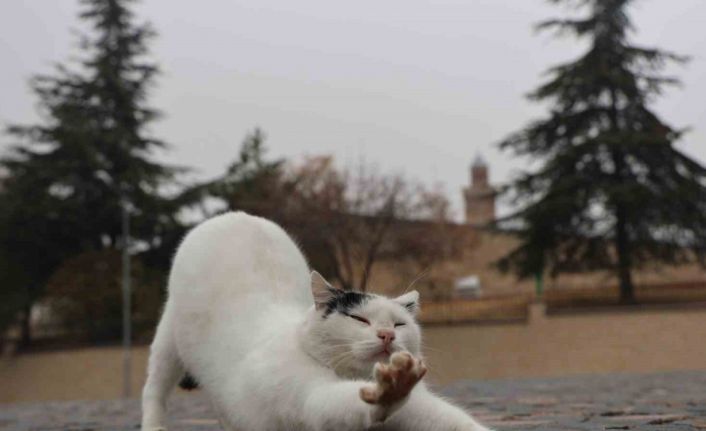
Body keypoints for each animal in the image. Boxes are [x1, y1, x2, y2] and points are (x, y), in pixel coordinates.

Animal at [139, 213, 490, 431]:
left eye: (399, 325)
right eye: (358, 318)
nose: (387, 335)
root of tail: (234, 215)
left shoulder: (421, 410)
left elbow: (453, 420)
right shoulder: (310, 399)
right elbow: (344, 404)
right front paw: (392, 388)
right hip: (168, 342)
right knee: (154, 389)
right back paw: (154, 424)